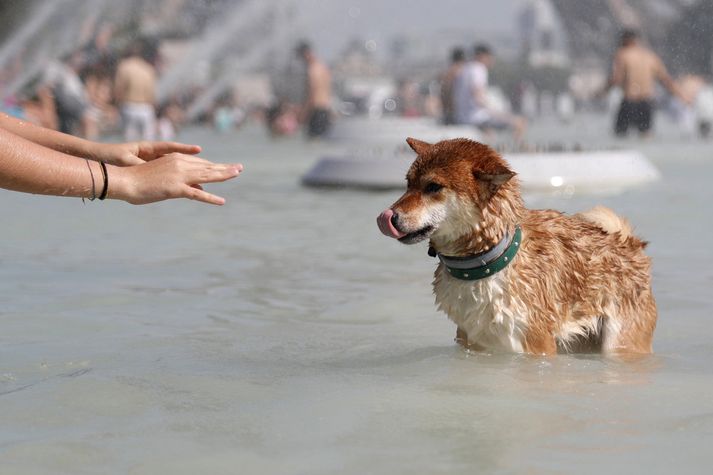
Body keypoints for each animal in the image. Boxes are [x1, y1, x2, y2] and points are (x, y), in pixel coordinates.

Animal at [378, 137, 656, 354]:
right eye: (408, 183)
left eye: (433, 187)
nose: (386, 217)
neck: (487, 262)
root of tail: (631, 245)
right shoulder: (471, 341)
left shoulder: (535, 345)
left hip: (620, 343)